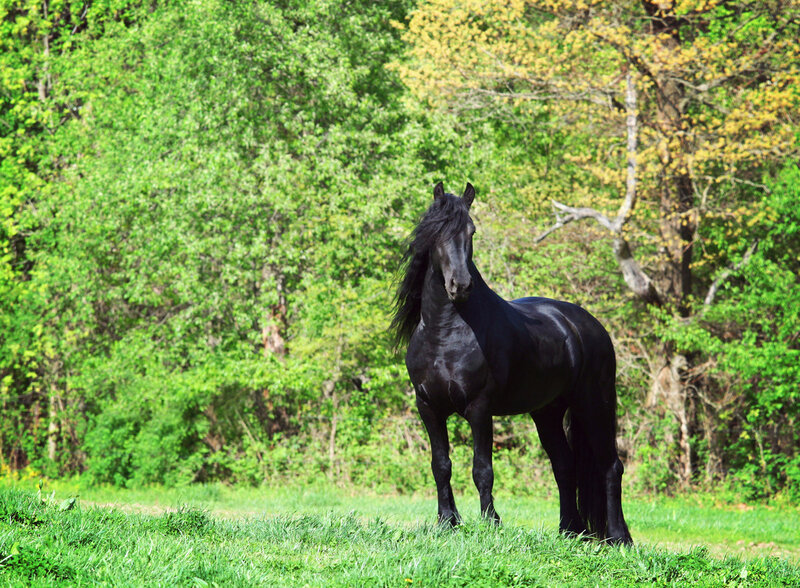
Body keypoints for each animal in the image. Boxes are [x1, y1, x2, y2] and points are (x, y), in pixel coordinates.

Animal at [391, 182, 632, 545]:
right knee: (564, 466)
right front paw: (447, 521)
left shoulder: (479, 407)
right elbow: (440, 464)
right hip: (547, 412)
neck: (445, 334)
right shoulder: (428, 407)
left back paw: (619, 537)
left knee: (610, 466)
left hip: (594, 403)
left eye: (471, 231)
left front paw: (491, 522)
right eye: (436, 233)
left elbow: (482, 468)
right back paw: (569, 530)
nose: (460, 286)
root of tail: (588, 324)